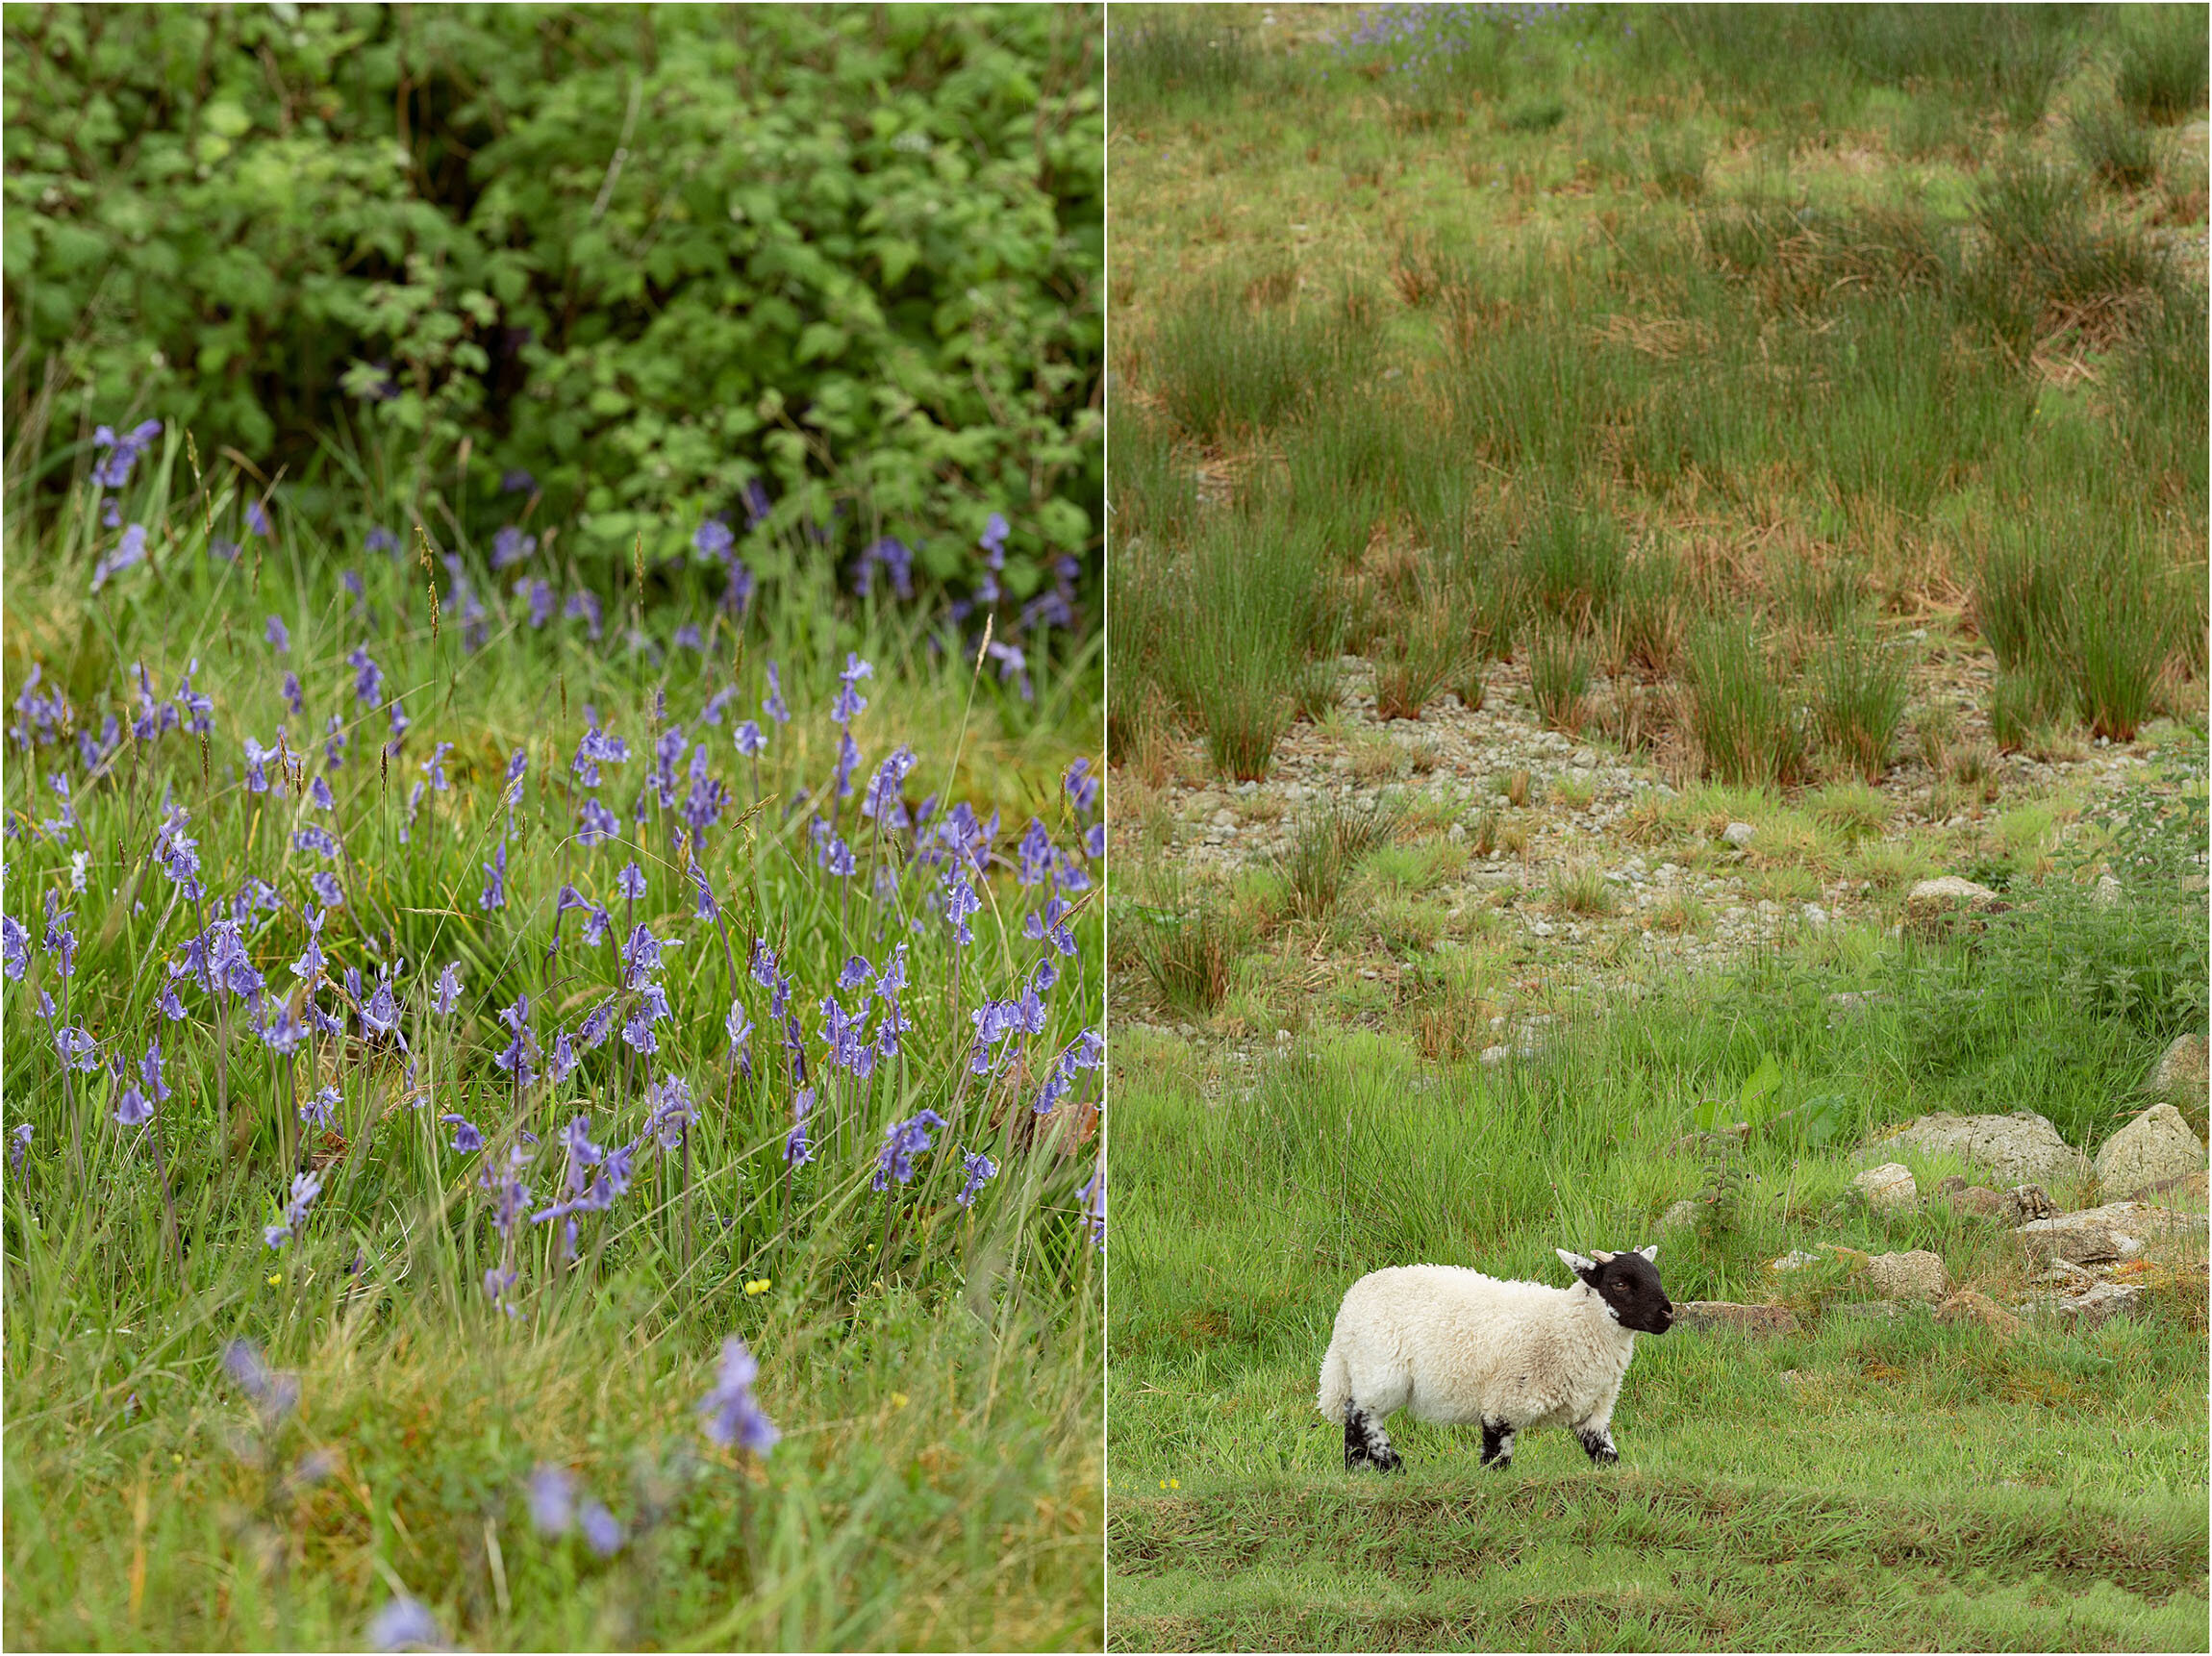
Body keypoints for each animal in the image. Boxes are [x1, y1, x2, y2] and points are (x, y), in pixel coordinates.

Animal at [1309, 1246, 1672, 1468]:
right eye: (1619, 1283)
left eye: (1657, 1275)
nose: (1667, 1314)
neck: (1565, 1324)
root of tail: (1349, 1303)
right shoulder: (1503, 1405)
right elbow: (1496, 1460)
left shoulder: (1593, 1415)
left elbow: (1607, 1457)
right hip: (1379, 1370)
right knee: (1360, 1415)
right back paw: (1389, 1465)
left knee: (1352, 1423)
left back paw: (1359, 1470)